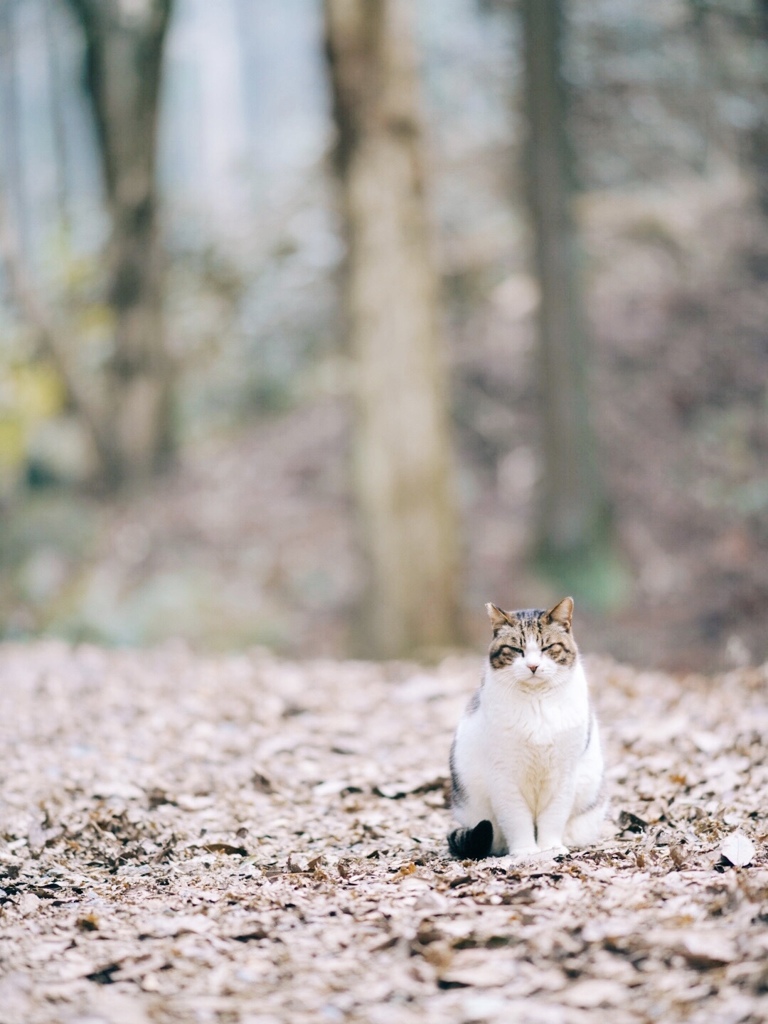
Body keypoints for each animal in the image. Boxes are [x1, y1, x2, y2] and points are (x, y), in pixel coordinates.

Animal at [450, 598, 606, 860]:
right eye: (516, 650)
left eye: (547, 647)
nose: (533, 666)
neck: (537, 702)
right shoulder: (504, 774)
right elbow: (516, 818)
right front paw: (525, 852)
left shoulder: (564, 774)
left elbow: (553, 816)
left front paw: (550, 847)